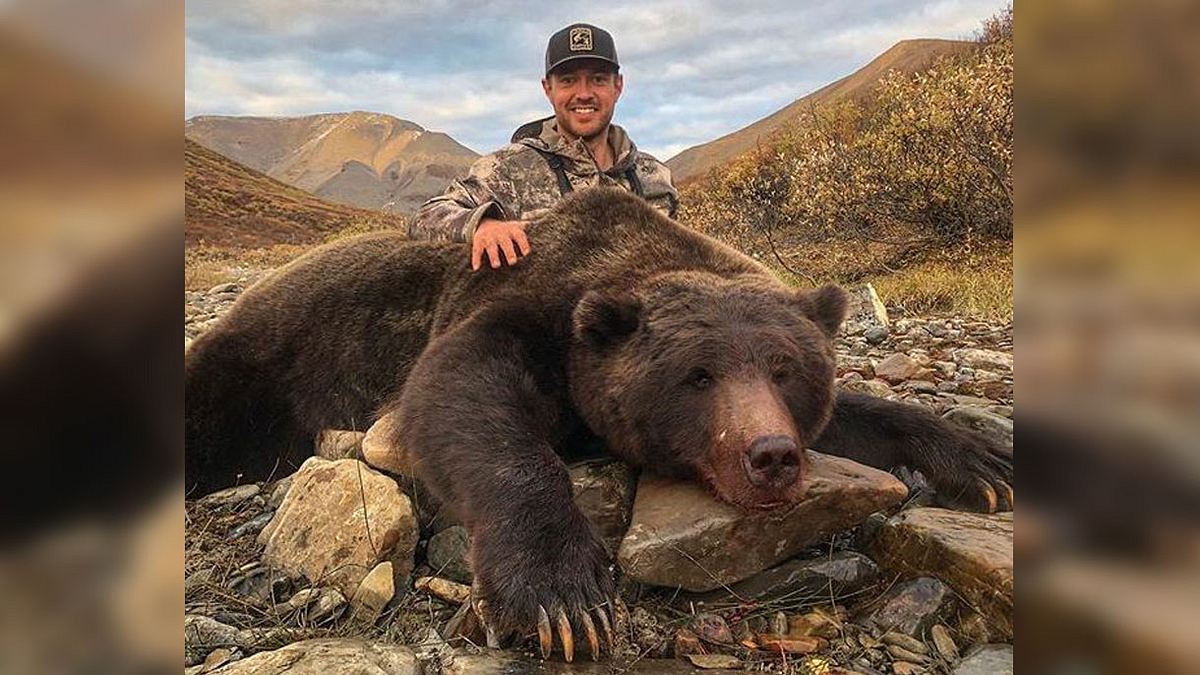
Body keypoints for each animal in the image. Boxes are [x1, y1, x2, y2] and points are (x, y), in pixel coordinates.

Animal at [184, 187, 1012, 658]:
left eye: (784, 369)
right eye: (698, 374)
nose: (770, 454)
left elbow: (864, 416)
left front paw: (981, 460)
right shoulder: (515, 306)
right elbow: (459, 398)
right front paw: (563, 594)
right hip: (259, 361)